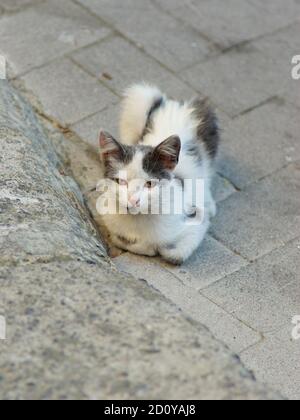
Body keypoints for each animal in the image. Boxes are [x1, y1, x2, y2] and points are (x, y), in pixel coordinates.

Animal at [99, 83, 219, 264]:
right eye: (121, 182)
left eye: (149, 184)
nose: (133, 200)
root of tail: (173, 103)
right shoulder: (111, 222)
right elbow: (121, 239)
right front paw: (144, 246)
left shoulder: (195, 220)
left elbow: (175, 253)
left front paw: (159, 248)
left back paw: (210, 203)